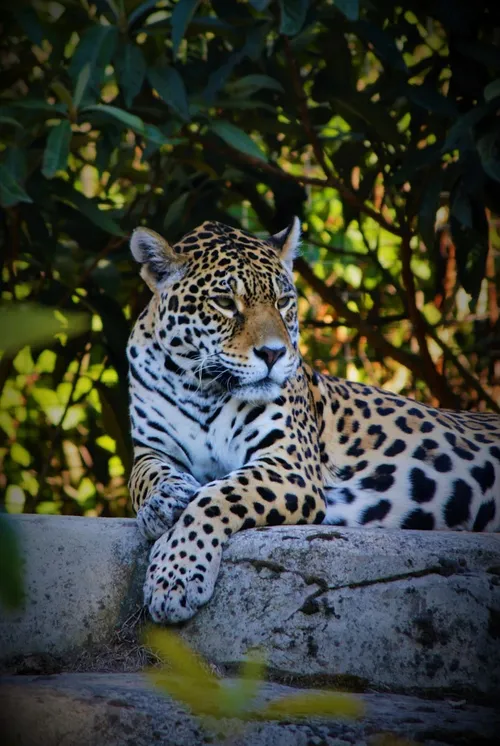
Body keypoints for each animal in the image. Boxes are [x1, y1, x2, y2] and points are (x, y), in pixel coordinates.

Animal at [127, 217, 500, 624]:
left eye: (283, 302)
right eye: (225, 303)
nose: (274, 354)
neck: (201, 387)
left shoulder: (289, 466)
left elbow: (216, 496)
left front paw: (175, 577)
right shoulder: (150, 449)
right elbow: (143, 478)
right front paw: (161, 503)